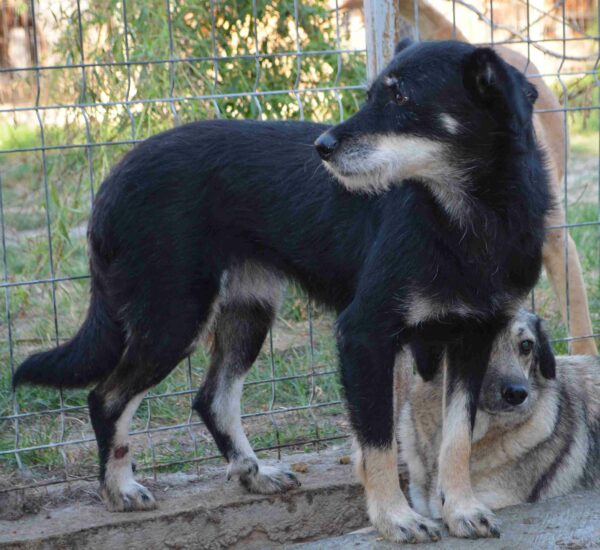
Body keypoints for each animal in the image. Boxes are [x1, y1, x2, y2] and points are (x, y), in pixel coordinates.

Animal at [12, 41, 552, 544]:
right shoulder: (363, 335)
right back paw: (119, 488)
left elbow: (456, 439)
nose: (322, 146)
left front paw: (461, 509)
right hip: (175, 316)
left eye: (400, 97)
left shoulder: (473, 338)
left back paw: (253, 473)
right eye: (371, 95)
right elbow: (378, 442)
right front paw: (395, 518)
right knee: (106, 397)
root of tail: (113, 176)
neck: (472, 219)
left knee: (212, 397)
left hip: (248, 312)